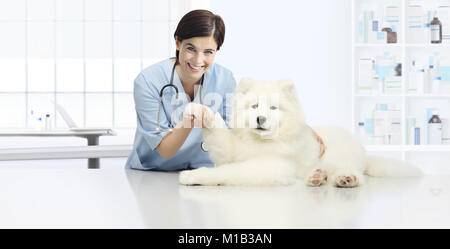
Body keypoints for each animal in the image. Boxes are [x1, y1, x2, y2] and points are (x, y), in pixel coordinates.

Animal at [178, 78, 422, 187]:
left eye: (273, 108)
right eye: (254, 106)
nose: (260, 119)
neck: (261, 142)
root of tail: (364, 153)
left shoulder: (271, 166)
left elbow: (227, 172)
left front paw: (192, 176)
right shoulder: (232, 149)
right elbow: (220, 138)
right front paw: (199, 111)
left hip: (340, 159)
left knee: (354, 174)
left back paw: (344, 178)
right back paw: (316, 177)